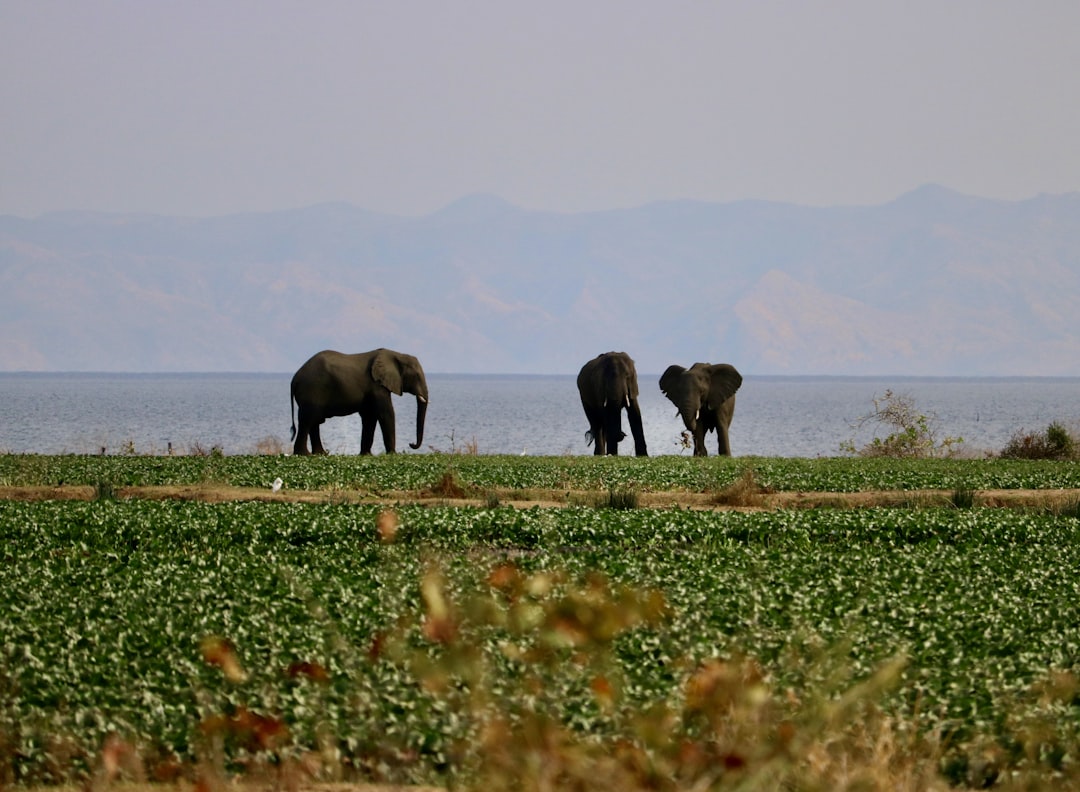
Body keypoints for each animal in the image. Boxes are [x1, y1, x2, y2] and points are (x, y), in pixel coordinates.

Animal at [290, 348, 428, 455]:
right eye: (416, 375)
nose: (411, 444)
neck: (397, 355)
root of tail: (294, 379)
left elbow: (369, 417)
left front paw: (366, 455)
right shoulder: (377, 386)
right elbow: (385, 413)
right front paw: (393, 454)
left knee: (314, 421)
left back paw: (320, 454)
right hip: (311, 390)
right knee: (307, 420)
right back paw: (304, 454)